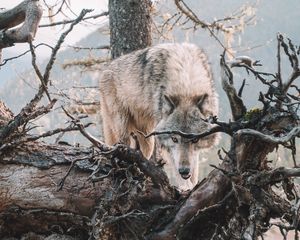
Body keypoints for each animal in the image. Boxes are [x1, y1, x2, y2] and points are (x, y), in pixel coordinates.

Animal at [99, 42, 219, 189]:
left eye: (195, 139)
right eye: (174, 139)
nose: (184, 171)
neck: (186, 83)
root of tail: (105, 69)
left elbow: (194, 170)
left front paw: (193, 184)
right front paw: (186, 188)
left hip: (146, 139)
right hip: (124, 130)